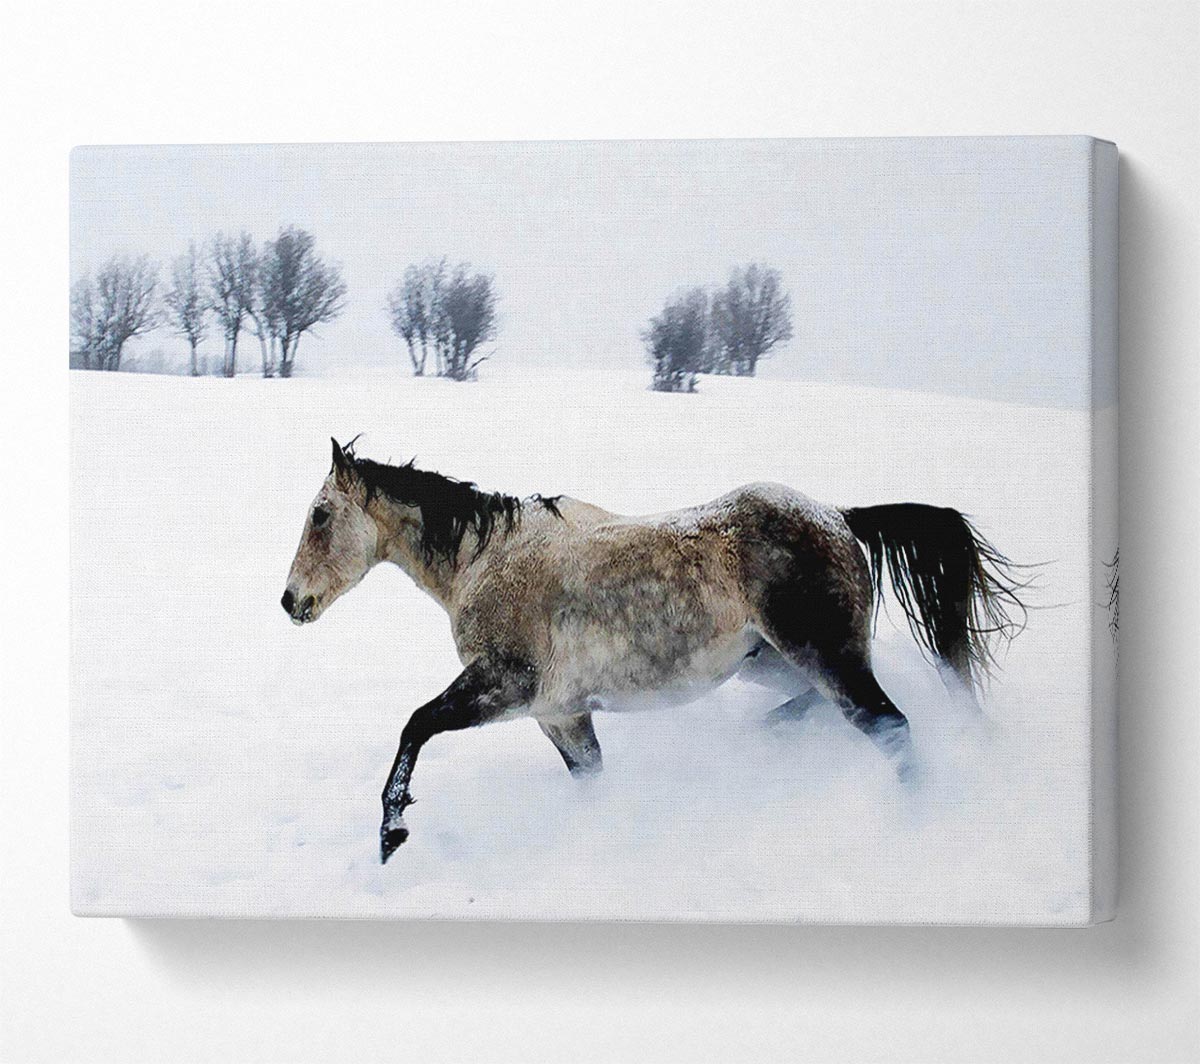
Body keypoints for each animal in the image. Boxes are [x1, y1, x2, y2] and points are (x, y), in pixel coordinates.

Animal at [283, 439, 1025, 863]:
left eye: (319, 514)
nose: (290, 602)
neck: (487, 561)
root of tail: (841, 517)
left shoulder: (506, 685)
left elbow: (415, 725)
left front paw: (391, 834)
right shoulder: (560, 714)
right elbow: (591, 780)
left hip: (826, 656)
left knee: (891, 727)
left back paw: (915, 825)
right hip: (772, 663)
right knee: (818, 708)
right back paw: (765, 739)